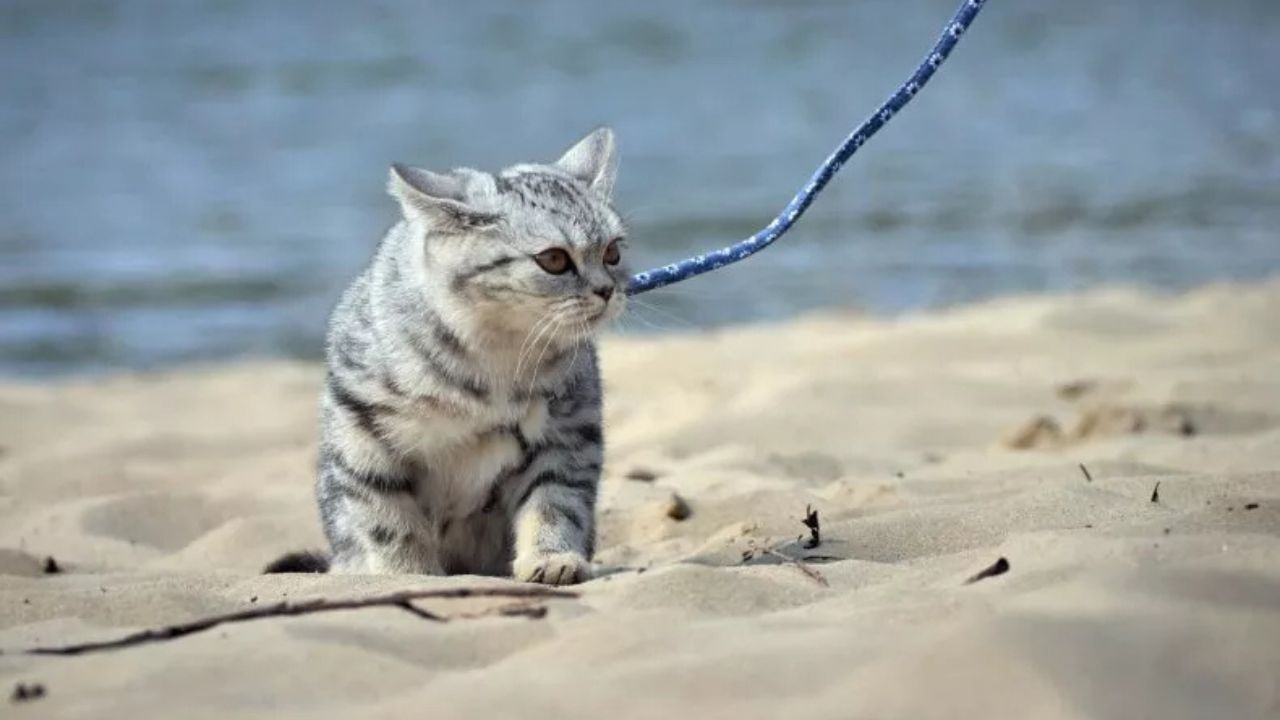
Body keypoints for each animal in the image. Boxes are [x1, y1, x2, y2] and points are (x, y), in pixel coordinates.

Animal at [267, 127, 627, 584]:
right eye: (554, 259)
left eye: (613, 252)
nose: (607, 289)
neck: (497, 354)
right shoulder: (361, 428)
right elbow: (388, 519)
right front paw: (406, 573)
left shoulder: (568, 432)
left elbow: (555, 502)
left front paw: (551, 557)